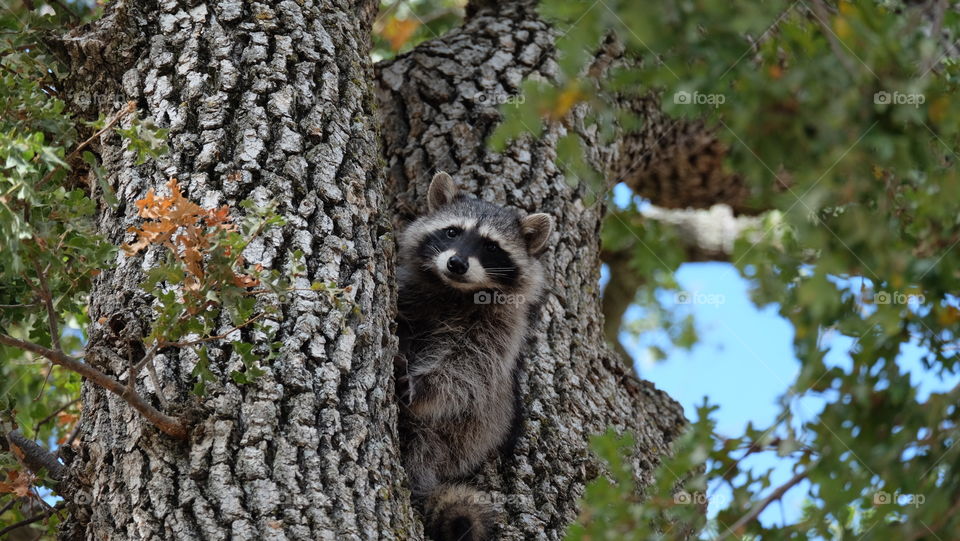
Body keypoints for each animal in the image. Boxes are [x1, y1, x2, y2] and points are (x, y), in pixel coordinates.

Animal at [395, 172, 553, 541]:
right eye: (452, 232)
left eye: (491, 246)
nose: (456, 263)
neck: (455, 291)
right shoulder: (413, 292)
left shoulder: (500, 328)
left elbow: (467, 369)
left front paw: (422, 387)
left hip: (468, 432)